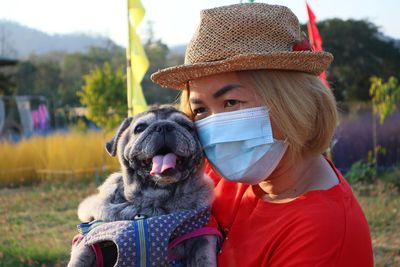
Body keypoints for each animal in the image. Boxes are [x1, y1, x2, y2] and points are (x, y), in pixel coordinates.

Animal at [69, 107, 219, 267]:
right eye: (140, 128)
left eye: (186, 126)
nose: (164, 126)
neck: (153, 199)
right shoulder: (89, 240)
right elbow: (80, 257)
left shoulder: (202, 236)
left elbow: (203, 255)